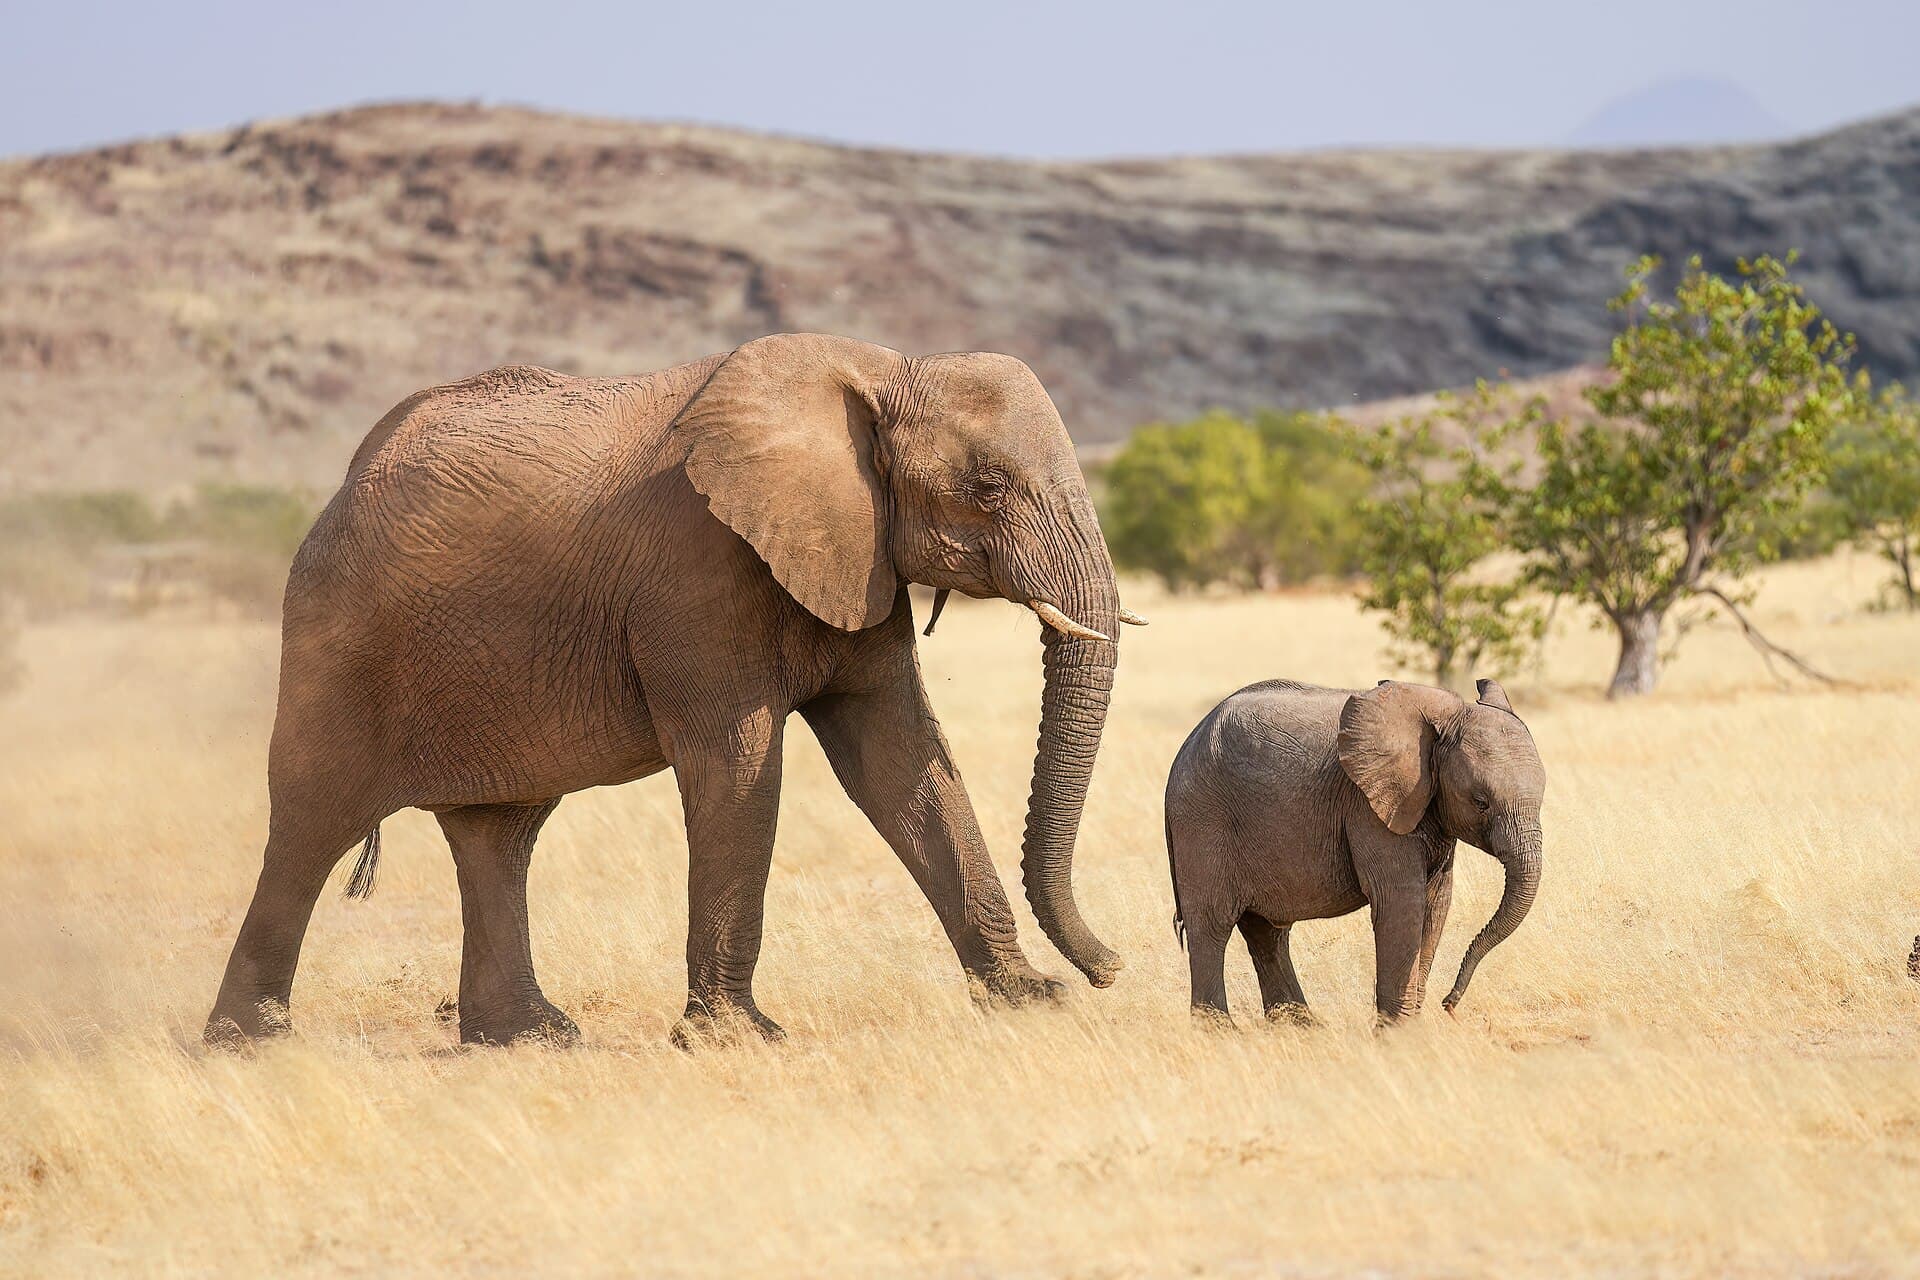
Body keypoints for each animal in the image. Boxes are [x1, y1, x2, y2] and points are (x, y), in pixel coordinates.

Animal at [204, 332, 1142, 1049]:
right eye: (988, 488)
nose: (1115, 966)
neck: (881, 367)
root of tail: (340, 488)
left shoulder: (855, 557)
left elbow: (901, 761)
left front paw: (1032, 1000)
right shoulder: (699, 570)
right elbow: (740, 765)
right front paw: (737, 1038)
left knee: (499, 834)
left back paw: (531, 1036)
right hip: (336, 635)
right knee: (313, 824)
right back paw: (250, 1042)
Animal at [1164, 678, 1544, 1024]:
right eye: (1480, 802)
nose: (1449, 1004)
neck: (1444, 717)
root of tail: (1185, 746)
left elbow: (1436, 904)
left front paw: (1415, 1030)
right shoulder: (1369, 808)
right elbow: (1400, 903)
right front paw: (1397, 1035)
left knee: (1266, 932)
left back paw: (1301, 1026)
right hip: (1202, 819)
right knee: (1212, 924)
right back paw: (1219, 1031)